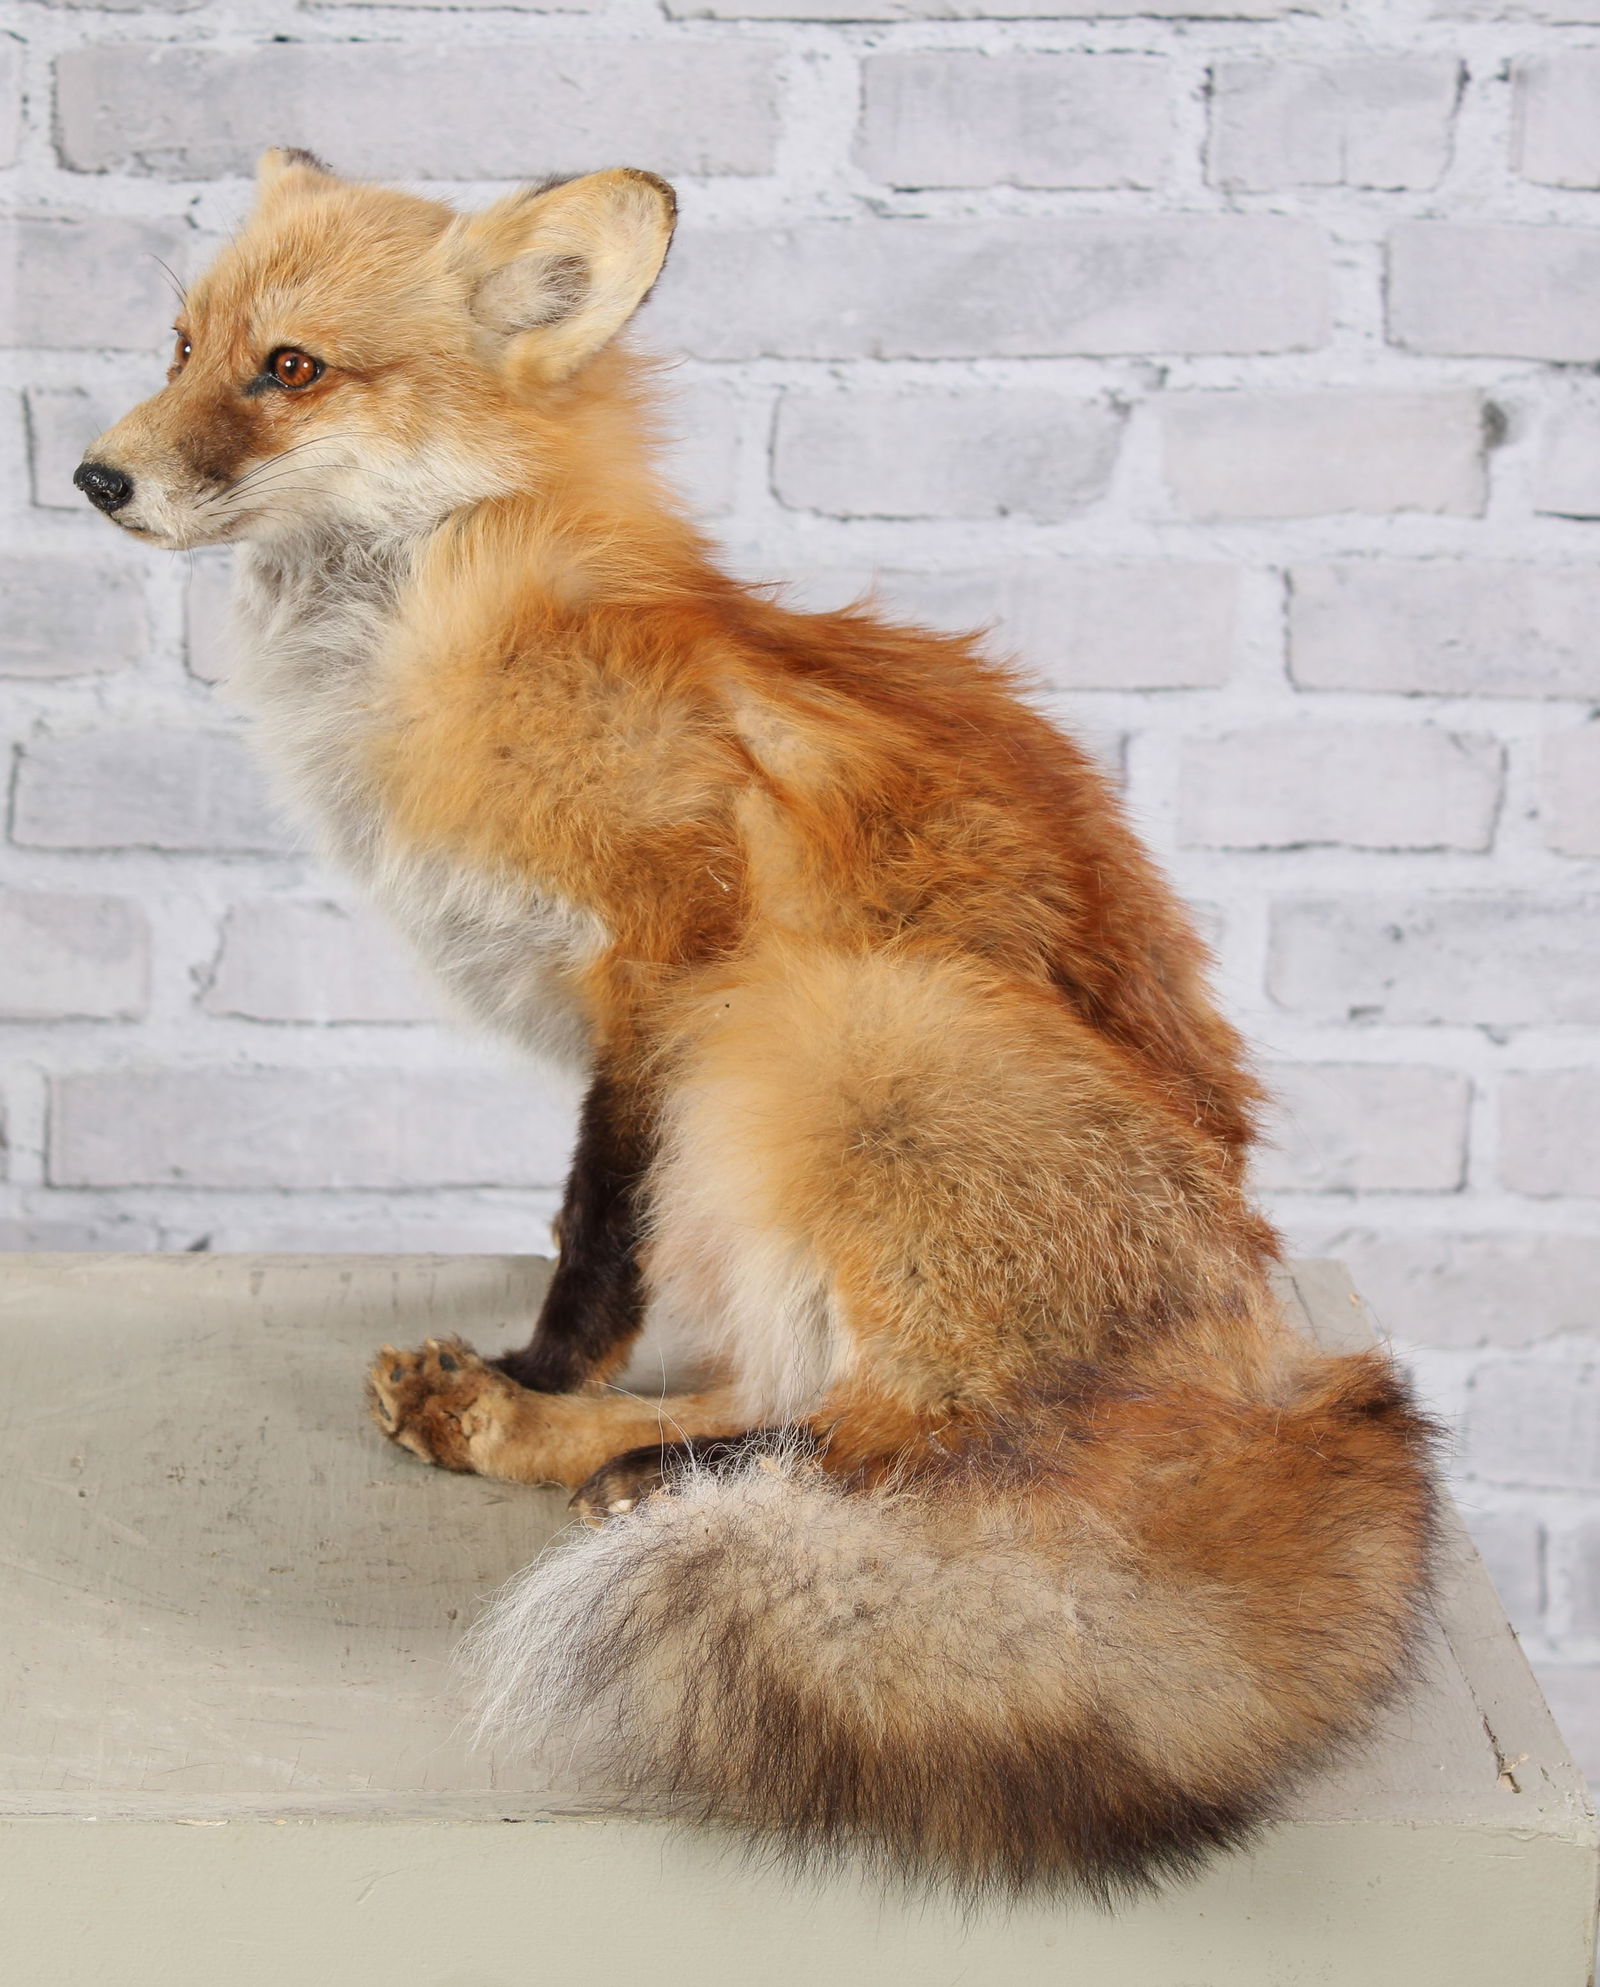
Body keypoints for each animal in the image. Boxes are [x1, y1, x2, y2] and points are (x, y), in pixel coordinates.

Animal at [75, 149, 1436, 1901]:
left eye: (291, 367)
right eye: (181, 343)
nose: (94, 475)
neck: (459, 626)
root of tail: (1260, 1364)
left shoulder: (669, 965)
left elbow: (597, 1231)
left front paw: (541, 1362)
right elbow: (611, 1242)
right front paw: (535, 1373)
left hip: (832, 1034)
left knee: (895, 1444)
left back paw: (589, 1449)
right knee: (807, 1402)